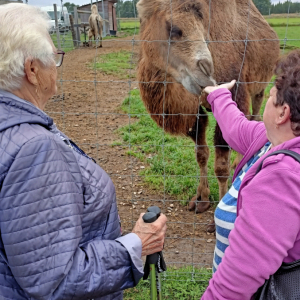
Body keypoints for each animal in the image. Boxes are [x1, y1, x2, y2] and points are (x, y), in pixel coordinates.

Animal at [137, 0, 280, 232]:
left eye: (204, 32)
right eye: (173, 28)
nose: (205, 68)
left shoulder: (236, 94)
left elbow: (220, 165)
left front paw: (216, 219)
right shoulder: (194, 111)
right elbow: (201, 153)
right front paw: (201, 198)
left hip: (261, 84)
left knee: (255, 114)